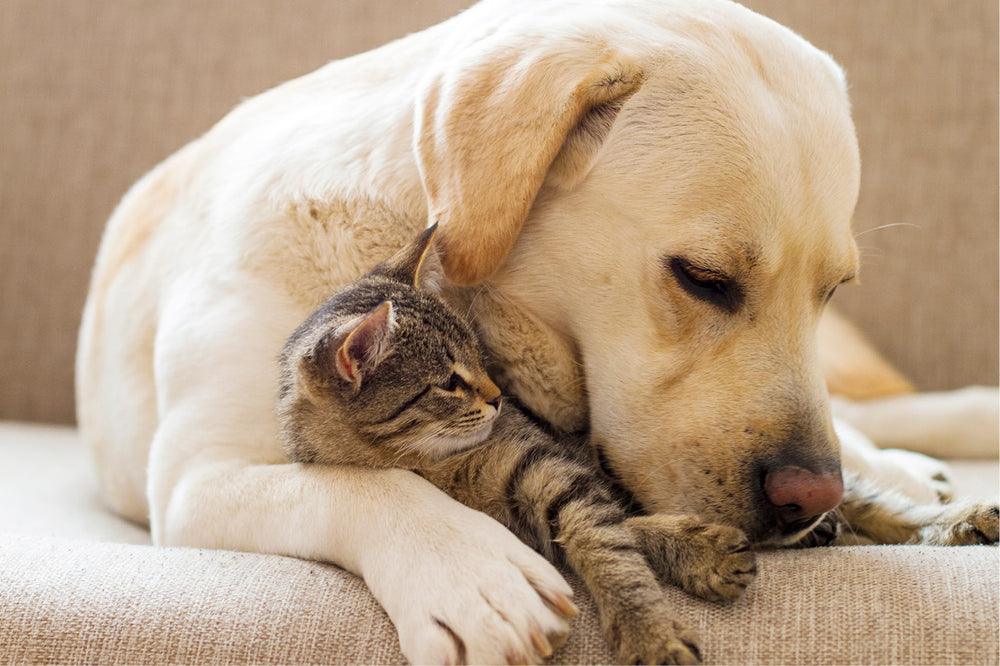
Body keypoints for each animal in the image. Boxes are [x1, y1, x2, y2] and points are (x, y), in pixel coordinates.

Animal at [278, 226, 752, 660]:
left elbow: (609, 542)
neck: (434, 463)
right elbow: (616, 532)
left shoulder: (555, 471)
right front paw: (684, 569)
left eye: (478, 355)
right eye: (450, 382)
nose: (498, 396)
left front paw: (650, 624)